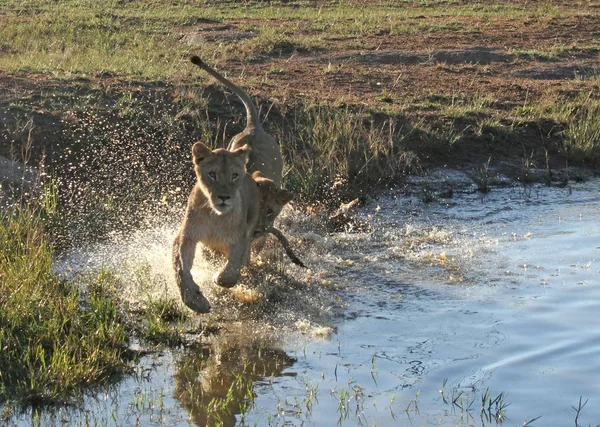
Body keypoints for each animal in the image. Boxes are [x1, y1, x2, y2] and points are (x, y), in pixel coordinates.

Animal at [171, 142, 292, 312]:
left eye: (234, 175)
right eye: (212, 174)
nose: (224, 197)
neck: (217, 217)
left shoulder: (242, 239)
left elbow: (232, 270)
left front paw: (218, 277)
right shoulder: (186, 236)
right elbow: (181, 266)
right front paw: (196, 301)